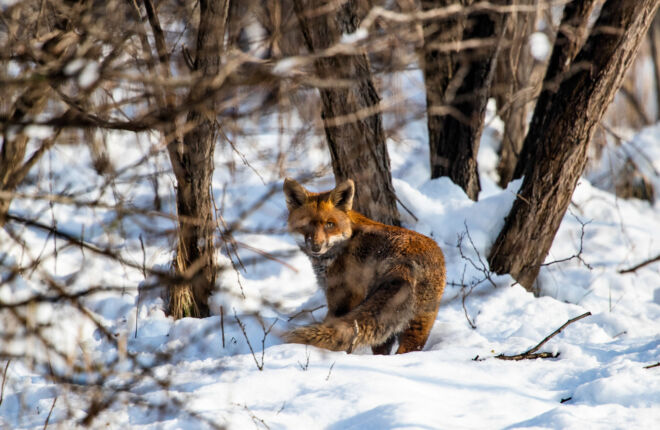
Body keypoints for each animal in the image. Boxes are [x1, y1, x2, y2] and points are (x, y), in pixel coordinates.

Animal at [283, 178, 446, 354]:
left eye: (329, 225)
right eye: (306, 225)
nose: (316, 247)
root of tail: (405, 262)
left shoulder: (340, 301)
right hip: (418, 322)